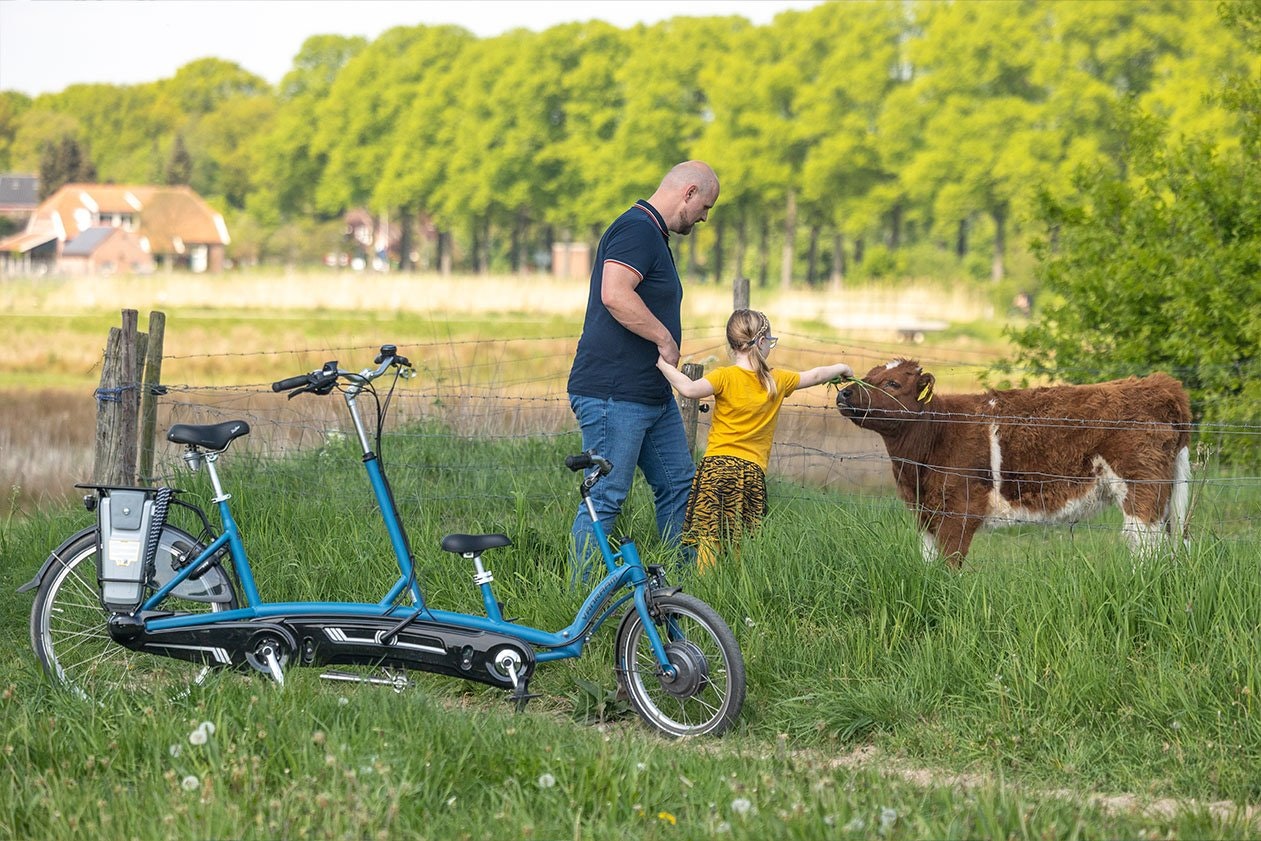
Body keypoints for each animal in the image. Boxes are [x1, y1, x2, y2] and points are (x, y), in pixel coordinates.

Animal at [837, 358, 1190, 569]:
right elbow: (927, 559)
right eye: (867, 377)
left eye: (893, 383)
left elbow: (950, 562)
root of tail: (1160, 384)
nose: (844, 393)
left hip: (1142, 491)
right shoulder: (926, 512)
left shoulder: (960, 510)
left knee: (1144, 544)